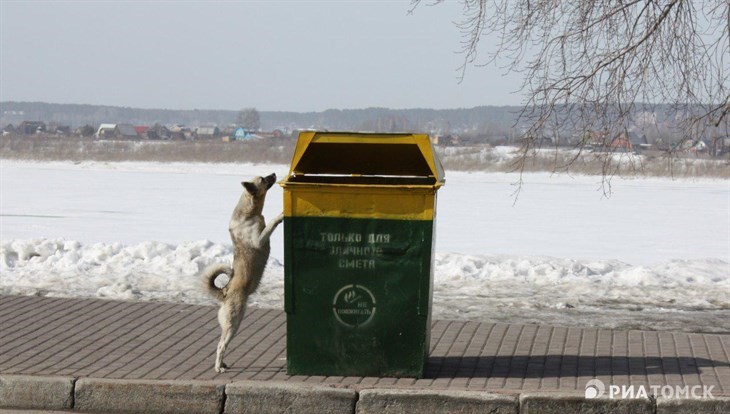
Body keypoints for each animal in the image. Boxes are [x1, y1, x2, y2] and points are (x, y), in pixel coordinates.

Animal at [200, 173, 282, 374]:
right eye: (263, 179)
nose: (274, 174)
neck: (249, 213)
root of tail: (224, 293)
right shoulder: (259, 239)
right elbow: (271, 224)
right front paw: (281, 215)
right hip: (234, 323)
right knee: (220, 346)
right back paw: (218, 367)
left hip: (234, 325)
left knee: (222, 343)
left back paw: (223, 364)